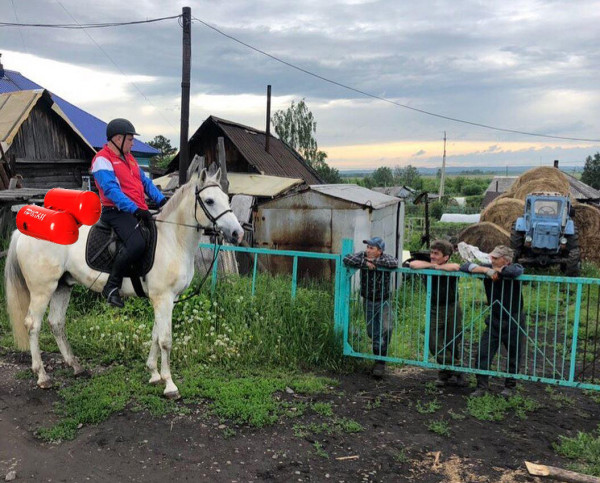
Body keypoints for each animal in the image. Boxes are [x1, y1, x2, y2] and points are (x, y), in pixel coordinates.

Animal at [4, 168, 244, 398]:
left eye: (227, 198)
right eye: (210, 201)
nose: (237, 233)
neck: (172, 240)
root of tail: (22, 233)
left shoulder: (165, 299)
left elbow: (155, 335)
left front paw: (154, 374)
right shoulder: (163, 298)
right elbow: (165, 340)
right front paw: (169, 385)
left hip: (63, 286)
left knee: (56, 323)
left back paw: (76, 367)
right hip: (42, 289)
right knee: (33, 325)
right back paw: (42, 376)